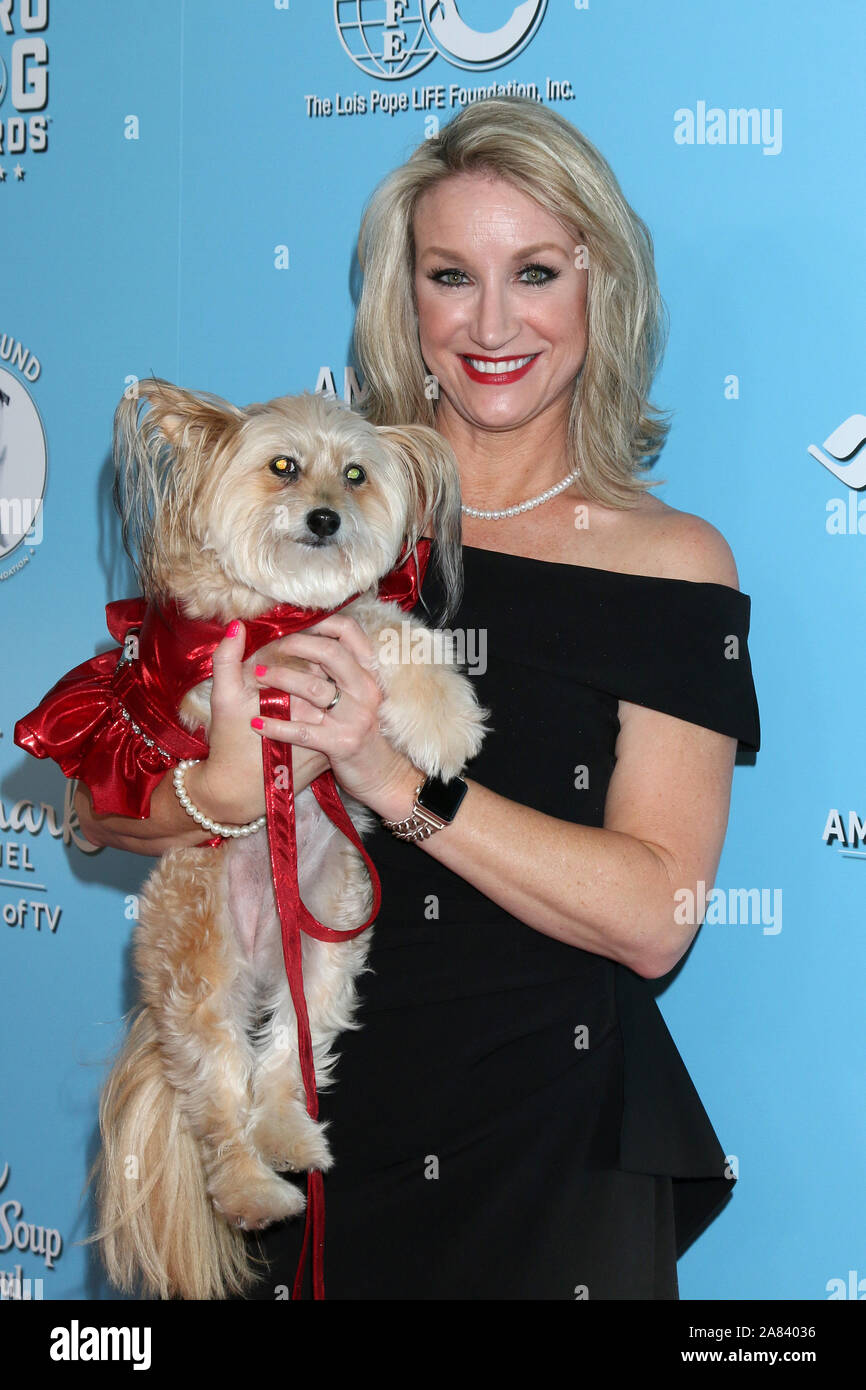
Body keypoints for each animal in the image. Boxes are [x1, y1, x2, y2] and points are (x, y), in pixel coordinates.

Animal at [93, 375, 489, 1295]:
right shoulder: (231, 673)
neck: (282, 602)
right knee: (219, 1110)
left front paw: (441, 717)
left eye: (355, 474)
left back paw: (291, 1141)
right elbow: (361, 629)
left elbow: (383, 621)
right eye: (282, 467)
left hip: (332, 945)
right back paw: (254, 1191)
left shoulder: (340, 623)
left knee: (281, 1069)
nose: (325, 520)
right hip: (200, 986)